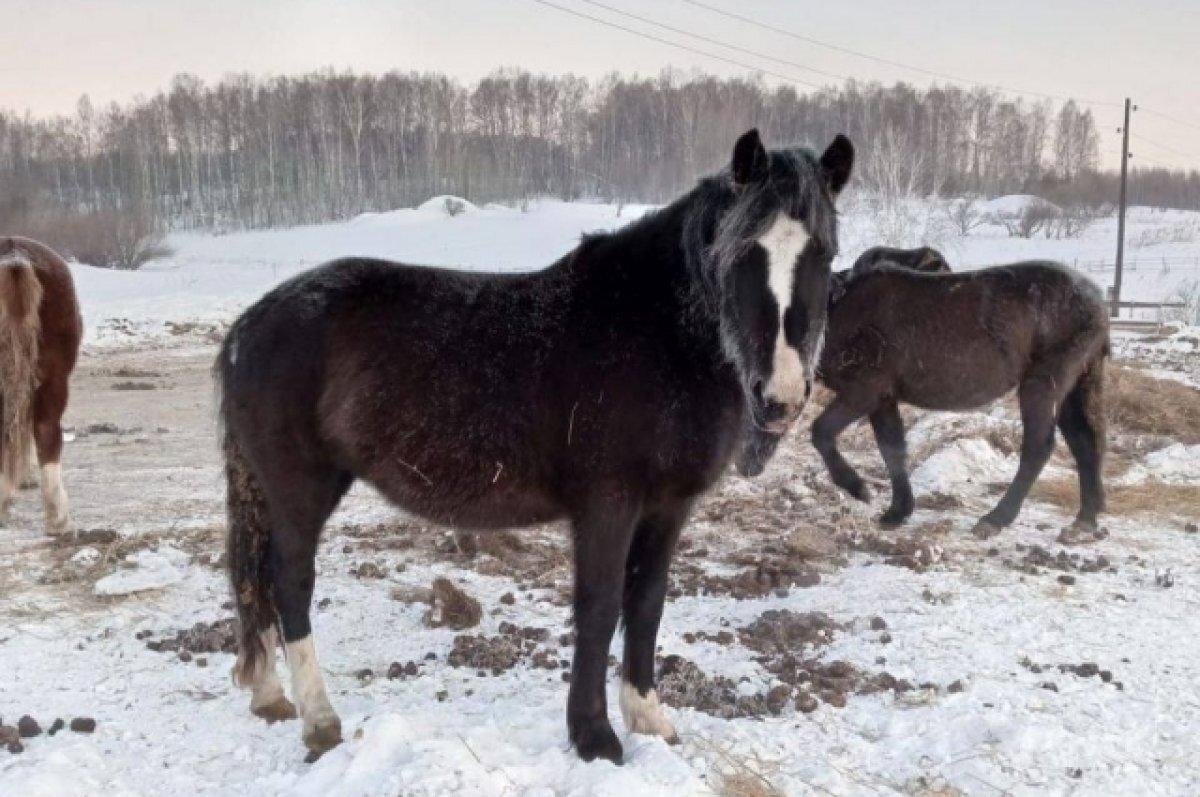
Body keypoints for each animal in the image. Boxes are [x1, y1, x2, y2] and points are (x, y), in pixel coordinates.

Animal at [816, 258, 1104, 537]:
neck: (841, 308)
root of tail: (1096, 300)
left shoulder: (863, 393)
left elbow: (821, 432)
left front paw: (858, 488)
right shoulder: (883, 399)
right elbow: (892, 450)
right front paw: (898, 511)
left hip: (1042, 384)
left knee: (1038, 448)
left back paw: (995, 519)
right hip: (1074, 388)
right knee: (1084, 442)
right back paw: (1085, 520)